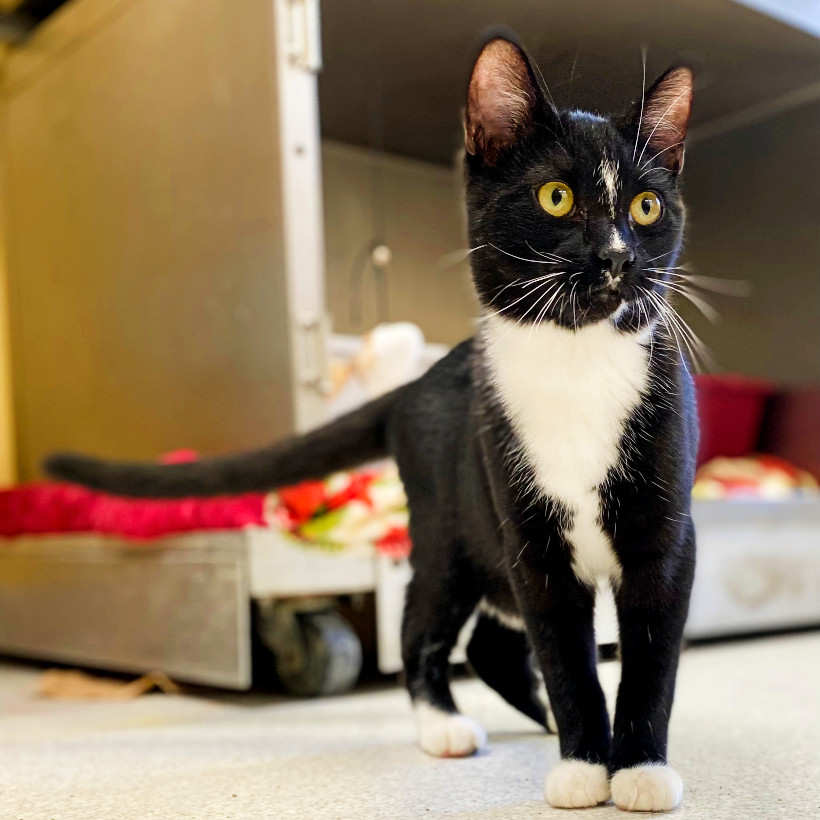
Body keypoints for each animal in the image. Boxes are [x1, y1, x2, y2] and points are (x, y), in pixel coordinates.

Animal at [46, 33, 697, 812]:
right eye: (557, 197)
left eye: (648, 205)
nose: (617, 257)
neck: (578, 366)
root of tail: (416, 383)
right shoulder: (530, 540)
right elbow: (567, 654)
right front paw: (583, 764)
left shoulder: (665, 538)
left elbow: (652, 656)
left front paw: (639, 767)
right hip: (453, 525)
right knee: (426, 624)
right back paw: (446, 725)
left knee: (491, 641)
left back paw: (535, 718)